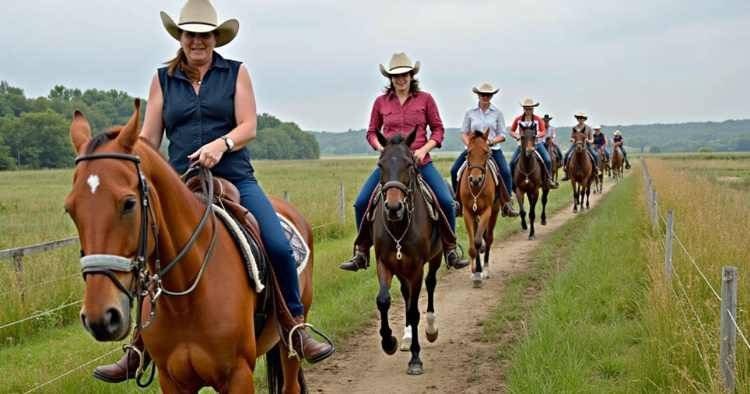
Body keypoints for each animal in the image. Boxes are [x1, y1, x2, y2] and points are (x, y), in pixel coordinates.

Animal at [65, 100, 312, 392]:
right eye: (70, 209)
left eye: (129, 203)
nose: (101, 318)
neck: (185, 298)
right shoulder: (171, 379)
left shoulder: (238, 376)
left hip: (290, 345)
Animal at [374, 130, 444, 376]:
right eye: (380, 165)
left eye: (410, 164)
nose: (394, 208)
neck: (398, 226)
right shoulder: (384, 263)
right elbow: (383, 300)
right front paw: (389, 342)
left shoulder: (416, 268)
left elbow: (414, 311)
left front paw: (415, 358)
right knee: (405, 294)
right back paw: (404, 337)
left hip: (435, 258)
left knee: (431, 284)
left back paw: (431, 328)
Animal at [462, 129, 502, 286]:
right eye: (469, 152)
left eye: (486, 152)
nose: (475, 179)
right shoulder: (468, 212)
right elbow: (473, 244)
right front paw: (474, 272)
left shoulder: (487, 211)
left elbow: (479, 241)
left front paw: (479, 272)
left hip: (495, 211)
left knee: (488, 238)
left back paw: (485, 269)